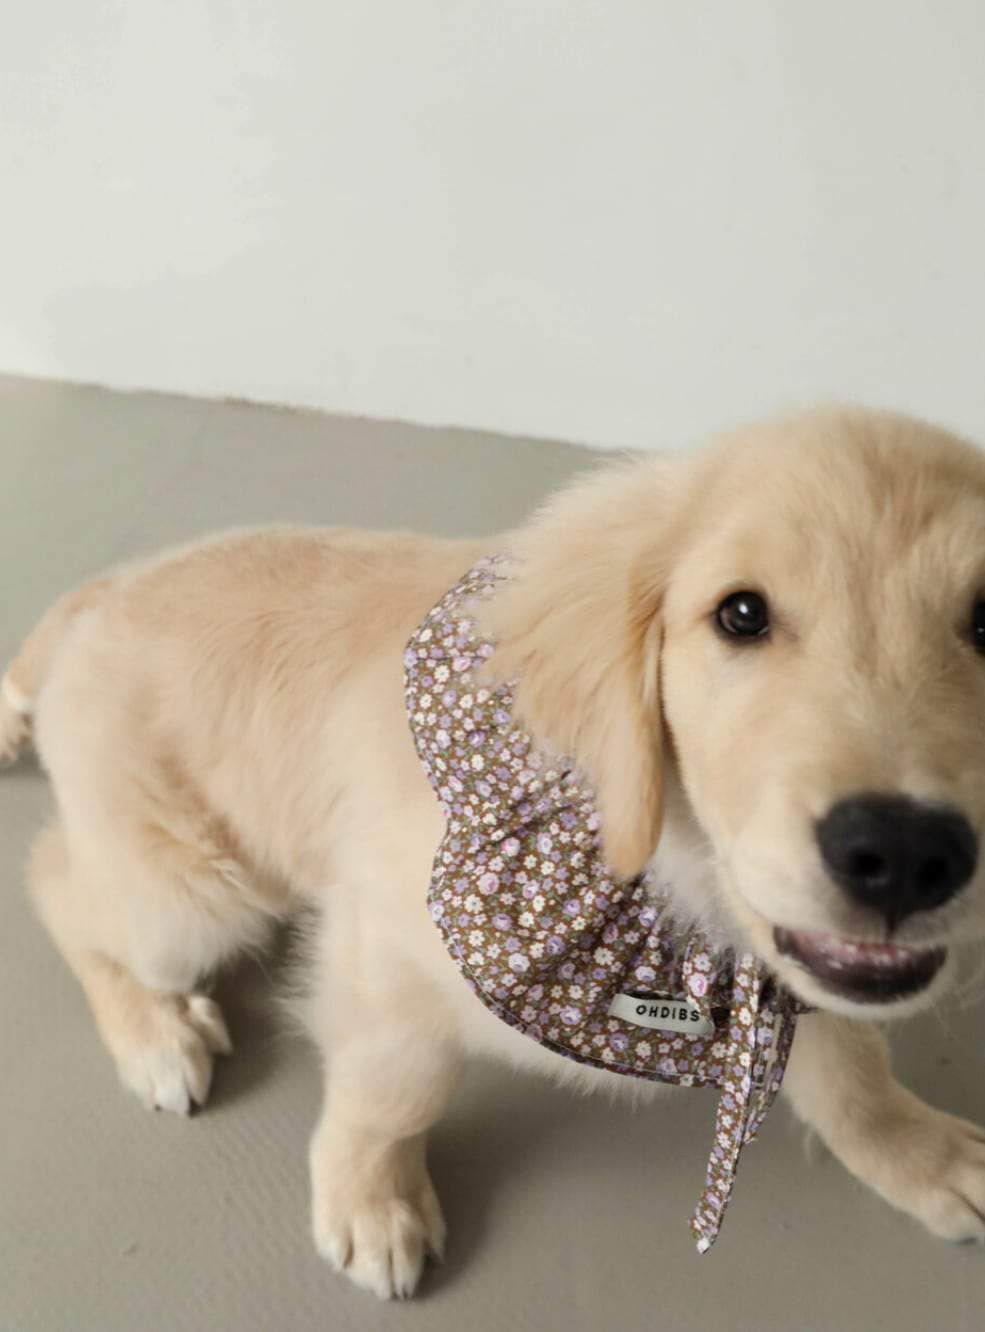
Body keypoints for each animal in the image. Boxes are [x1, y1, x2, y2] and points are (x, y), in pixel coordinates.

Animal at [4, 405, 985, 1298]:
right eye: (740, 614)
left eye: (984, 621)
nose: (903, 853)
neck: (670, 868)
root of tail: (110, 590)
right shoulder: (387, 950)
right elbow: (392, 1093)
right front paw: (371, 1202)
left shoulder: (796, 971)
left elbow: (851, 1070)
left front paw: (919, 1152)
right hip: (193, 899)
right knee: (57, 884)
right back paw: (156, 1034)